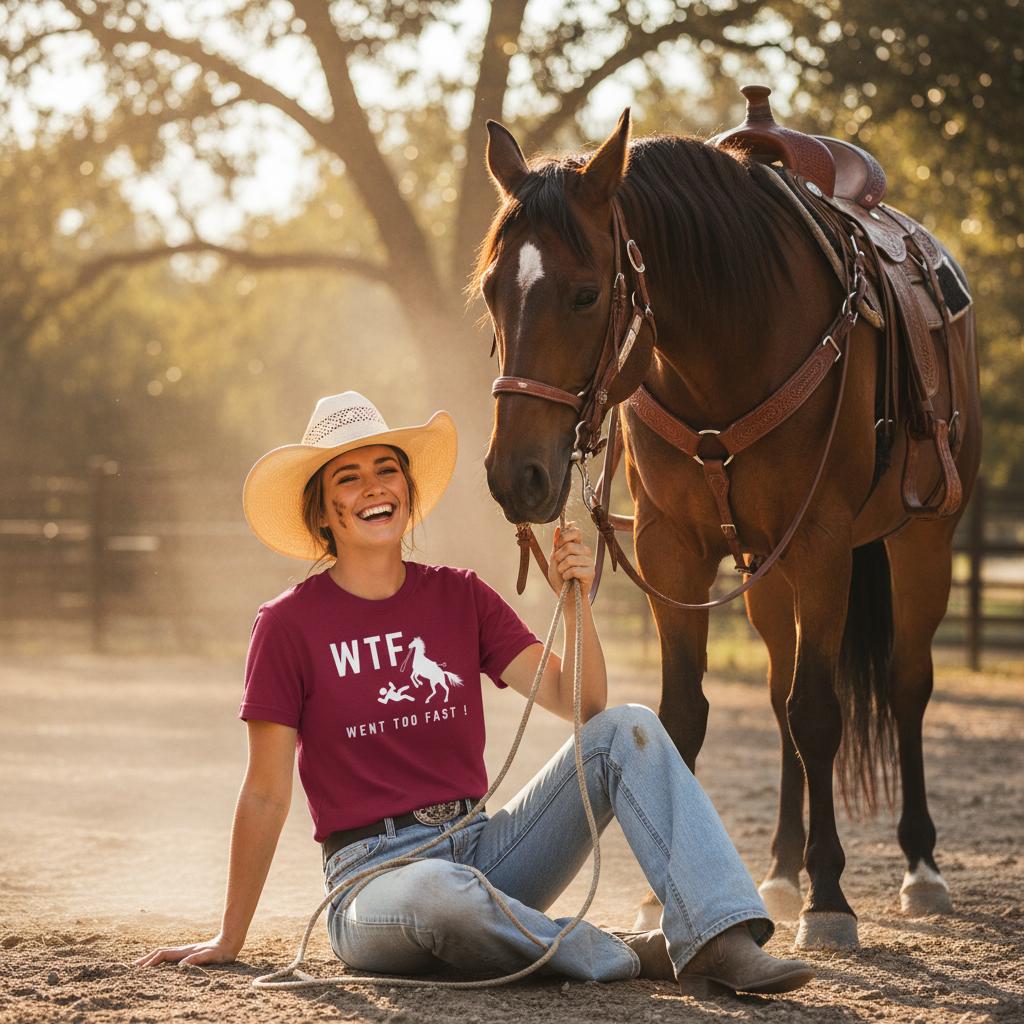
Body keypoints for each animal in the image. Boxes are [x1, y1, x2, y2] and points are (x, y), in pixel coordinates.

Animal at [475, 109, 981, 950]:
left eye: (585, 294)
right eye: (490, 291)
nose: (517, 476)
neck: (733, 336)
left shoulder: (821, 545)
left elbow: (820, 714)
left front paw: (831, 898)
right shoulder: (671, 550)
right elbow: (686, 716)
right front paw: (661, 901)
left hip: (924, 541)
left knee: (906, 686)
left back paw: (920, 868)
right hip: (765, 570)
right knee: (778, 698)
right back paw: (778, 870)